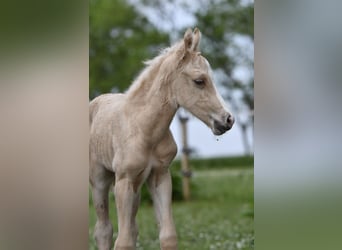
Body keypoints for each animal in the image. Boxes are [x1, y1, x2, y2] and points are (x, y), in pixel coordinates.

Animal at [89, 28, 234, 250]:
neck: (144, 130)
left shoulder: (160, 176)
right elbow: (123, 242)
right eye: (199, 81)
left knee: (133, 227)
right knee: (103, 229)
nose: (228, 120)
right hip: (100, 180)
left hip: (138, 186)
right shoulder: (124, 180)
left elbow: (167, 236)